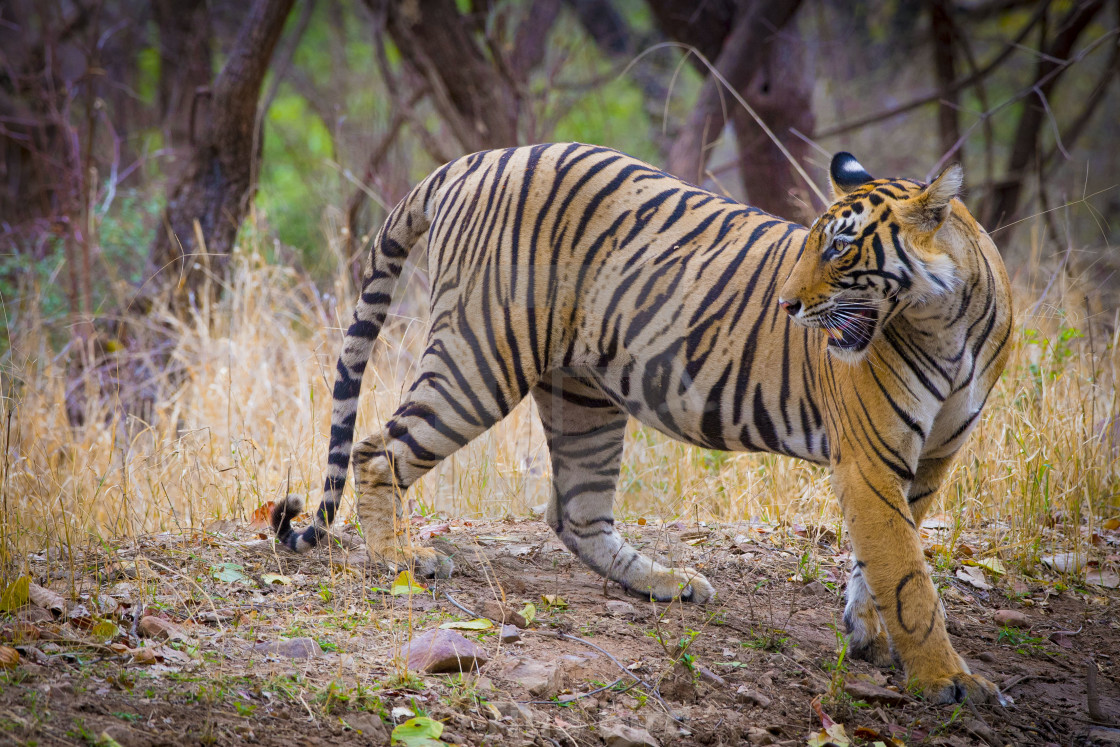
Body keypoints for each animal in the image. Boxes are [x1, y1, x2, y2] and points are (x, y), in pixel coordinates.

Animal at [273, 143, 1016, 703]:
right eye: (812, 245)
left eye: (838, 249)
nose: (786, 305)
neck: (948, 322)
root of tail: (473, 159)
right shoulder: (870, 459)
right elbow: (910, 577)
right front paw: (949, 681)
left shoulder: (930, 461)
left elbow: (885, 558)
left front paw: (868, 633)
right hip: (480, 355)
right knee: (379, 449)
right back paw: (401, 557)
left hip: (582, 394)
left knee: (576, 514)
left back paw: (667, 582)